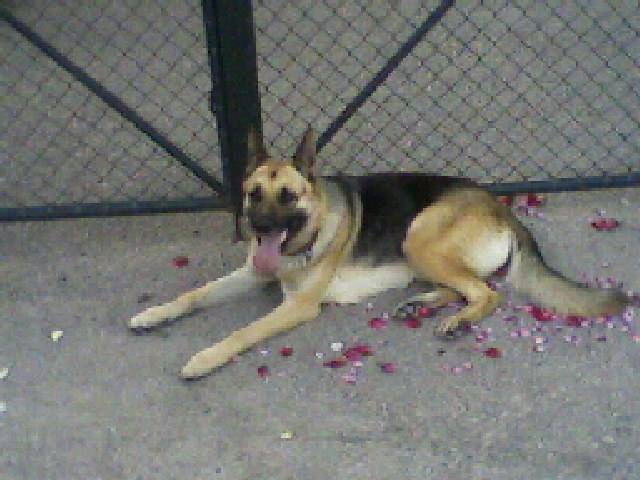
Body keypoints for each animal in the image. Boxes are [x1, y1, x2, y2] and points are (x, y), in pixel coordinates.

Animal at [129, 127, 630, 378]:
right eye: (254, 195)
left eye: (288, 197)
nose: (260, 229)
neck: (305, 236)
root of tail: (500, 207)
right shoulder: (253, 273)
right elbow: (192, 295)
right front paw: (154, 314)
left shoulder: (298, 306)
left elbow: (243, 332)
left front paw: (204, 358)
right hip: (420, 251)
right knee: (468, 286)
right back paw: (422, 304)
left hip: (418, 236)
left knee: (488, 293)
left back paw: (456, 321)